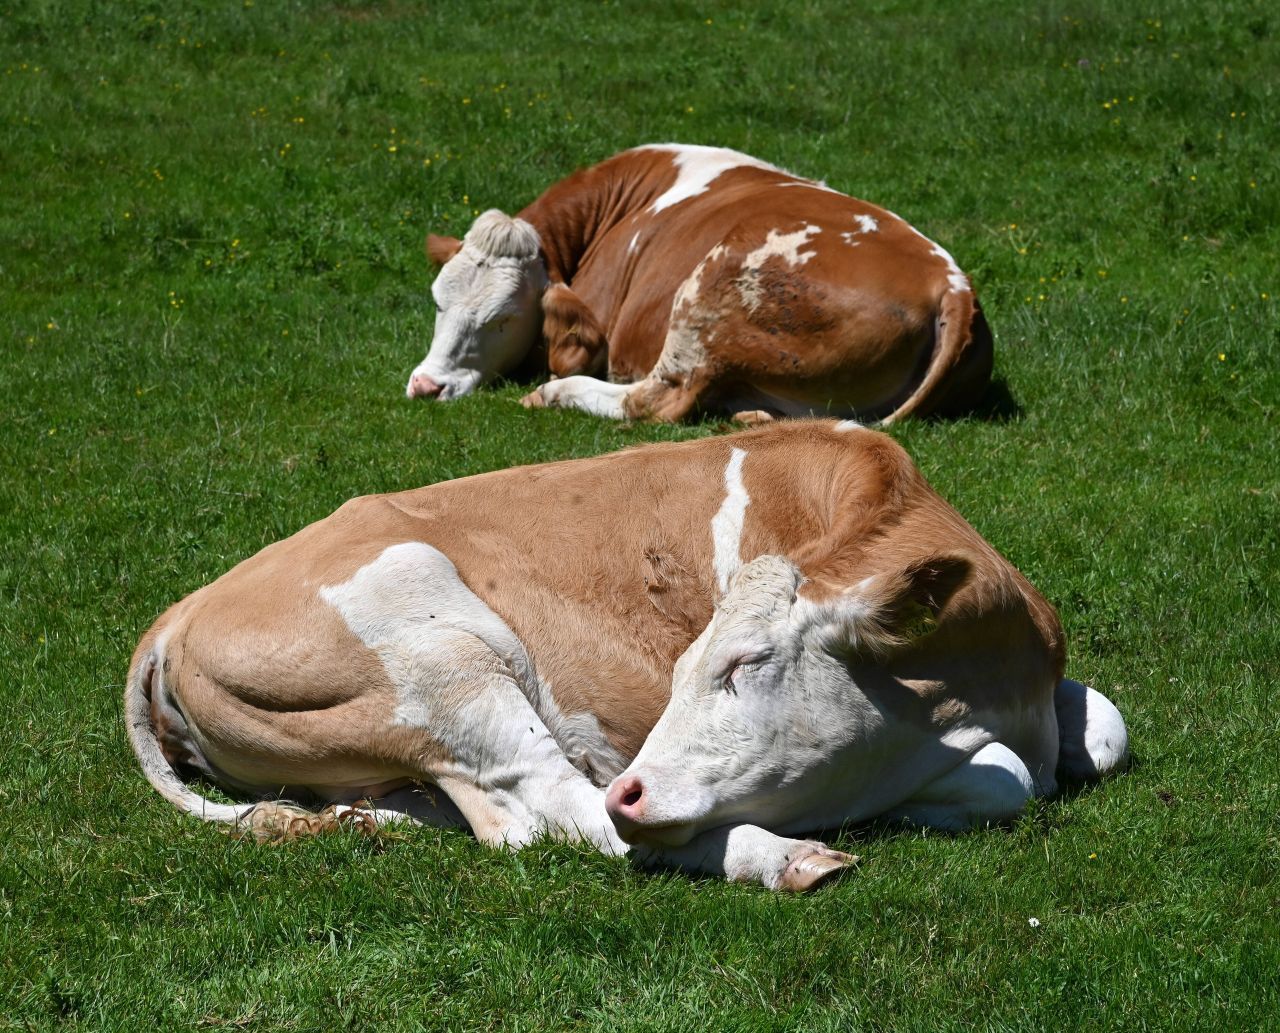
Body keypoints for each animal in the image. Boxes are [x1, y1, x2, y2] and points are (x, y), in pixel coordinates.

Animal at [124, 419, 1126, 890]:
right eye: (693, 666)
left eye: (740, 663)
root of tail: (178, 613)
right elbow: (1003, 776)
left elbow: (1106, 729)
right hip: (446, 657)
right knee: (560, 813)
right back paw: (780, 857)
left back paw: (348, 824)